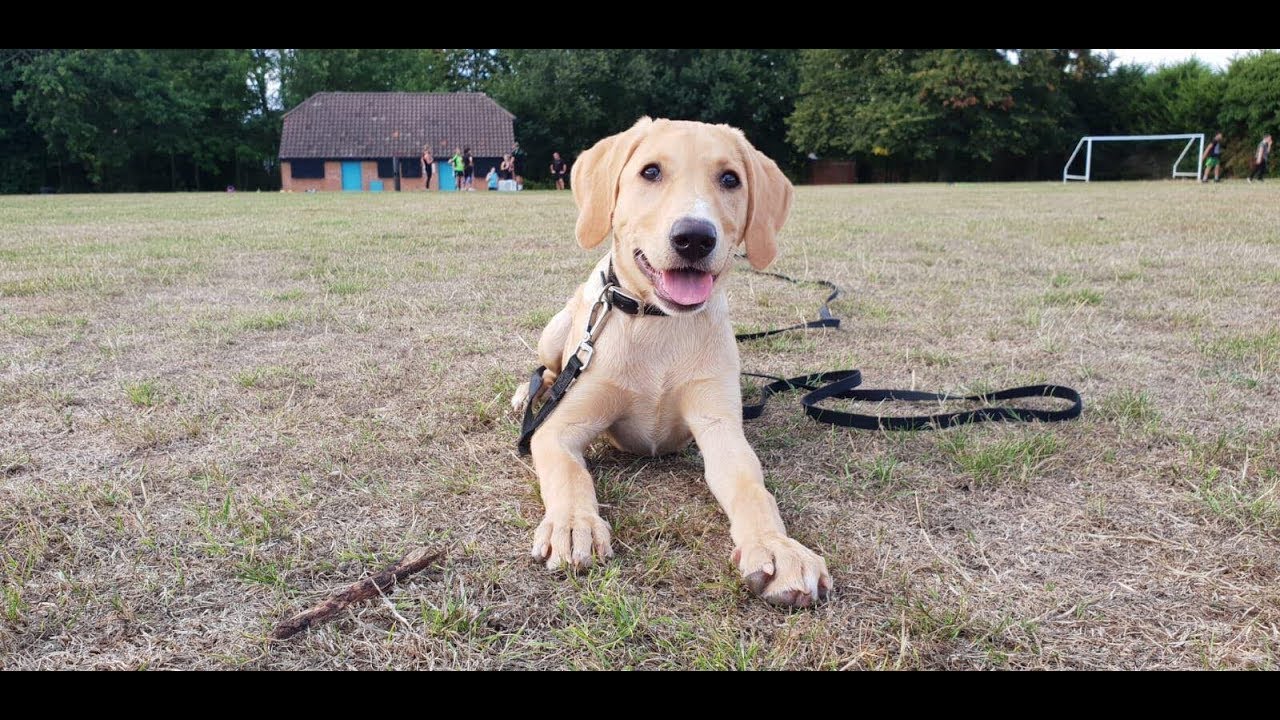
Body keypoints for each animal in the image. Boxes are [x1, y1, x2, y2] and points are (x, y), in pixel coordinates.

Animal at [514, 117, 834, 604]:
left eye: (730, 179)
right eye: (650, 172)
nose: (695, 238)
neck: (659, 325)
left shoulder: (721, 428)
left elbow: (751, 486)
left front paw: (777, 547)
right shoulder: (558, 427)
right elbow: (570, 473)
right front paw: (574, 524)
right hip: (557, 333)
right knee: (547, 370)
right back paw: (527, 392)